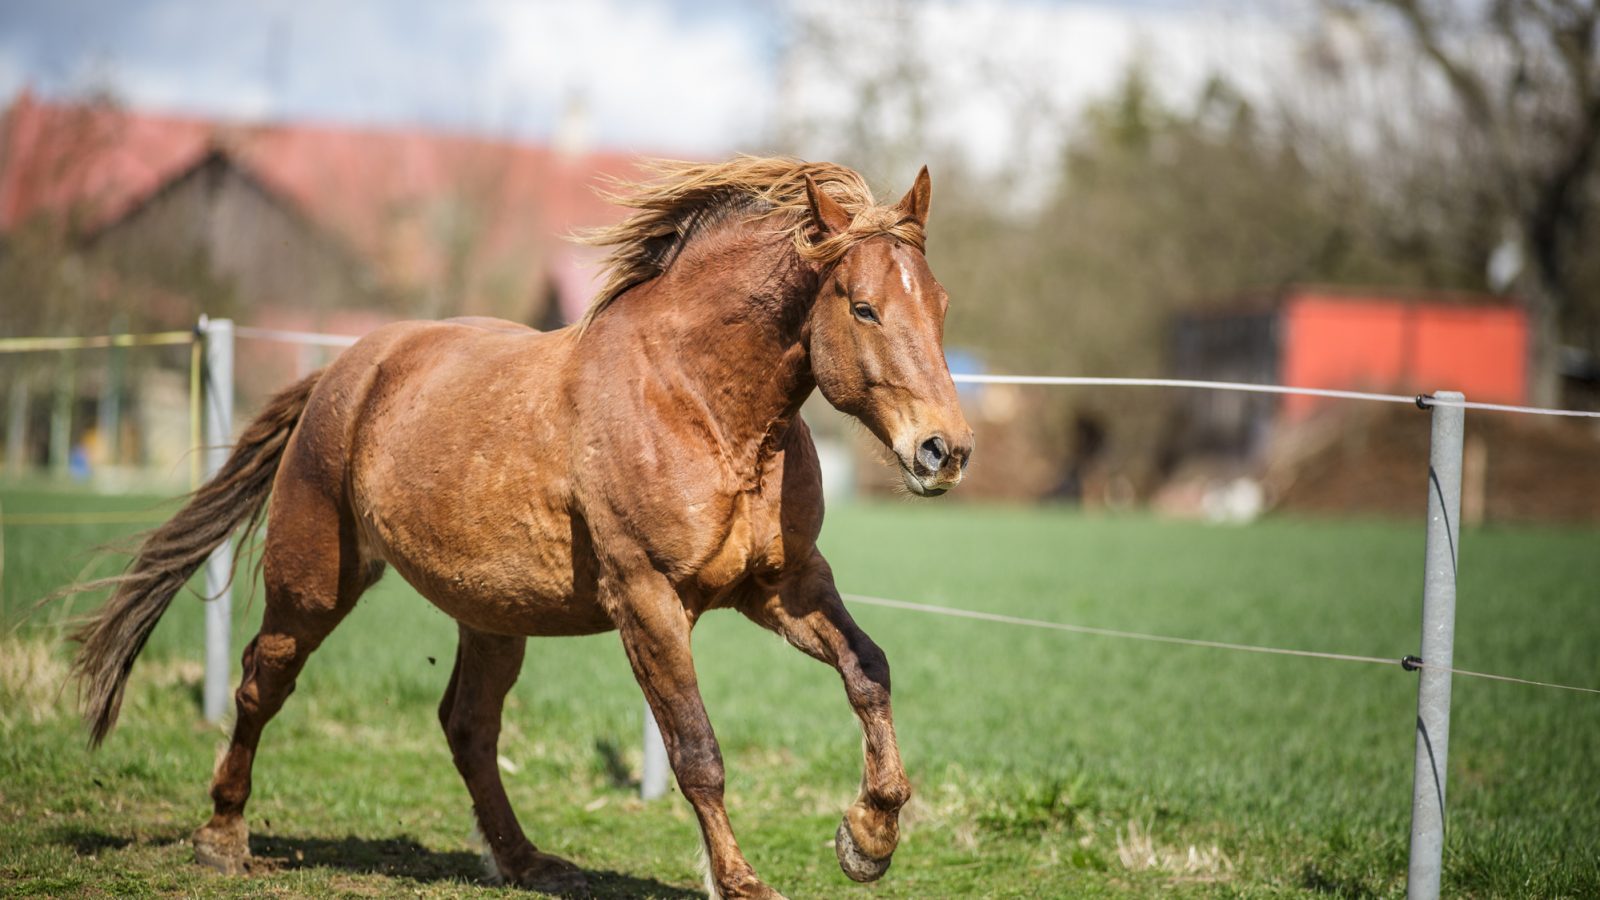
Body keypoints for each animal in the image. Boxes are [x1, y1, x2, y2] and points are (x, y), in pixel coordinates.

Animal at [68, 157, 966, 890]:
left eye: (941, 305)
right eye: (863, 308)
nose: (944, 450)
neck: (700, 403)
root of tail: (346, 368)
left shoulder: (784, 585)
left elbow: (869, 671)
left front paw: (868, 840)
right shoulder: (648, 600)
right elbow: (697, 752)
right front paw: (744, 882)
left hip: (492, 614)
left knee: (467, 725)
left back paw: (527, 861)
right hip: (313, 582)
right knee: (263, 681)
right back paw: (223, 838)